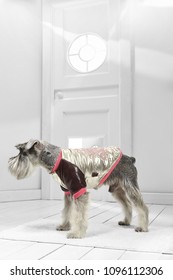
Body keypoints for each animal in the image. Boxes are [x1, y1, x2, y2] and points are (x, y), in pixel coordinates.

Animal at [8, 140, 149, 238]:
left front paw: (76, 233)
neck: (56, 159)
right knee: (127, 204)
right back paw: (126, 221)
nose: (10, 163)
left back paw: (142, 227)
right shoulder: (68, 192)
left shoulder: (79, 190)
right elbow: (67, 211)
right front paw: (65, 226)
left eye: (23, 154)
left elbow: (79, 215)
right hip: (117, 190)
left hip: (130, 187)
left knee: (142, 207)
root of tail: (130, 159)